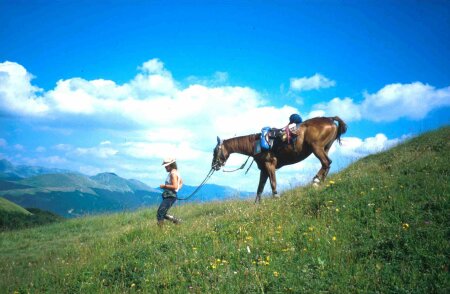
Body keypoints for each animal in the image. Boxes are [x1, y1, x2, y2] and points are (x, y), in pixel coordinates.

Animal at [212, 116, 348, 203]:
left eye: (215, 151)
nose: (214, 166)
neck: (255, 144)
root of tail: (330, 119)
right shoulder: (263, 170)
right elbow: (260, 188)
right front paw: (257, 204)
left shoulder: (270, 165)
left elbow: (273, 183)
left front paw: (276, 196)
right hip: (325, 148)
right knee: (327, 164)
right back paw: (322, 181)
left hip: (317, 148)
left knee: (326, 162)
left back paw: (316, 180)